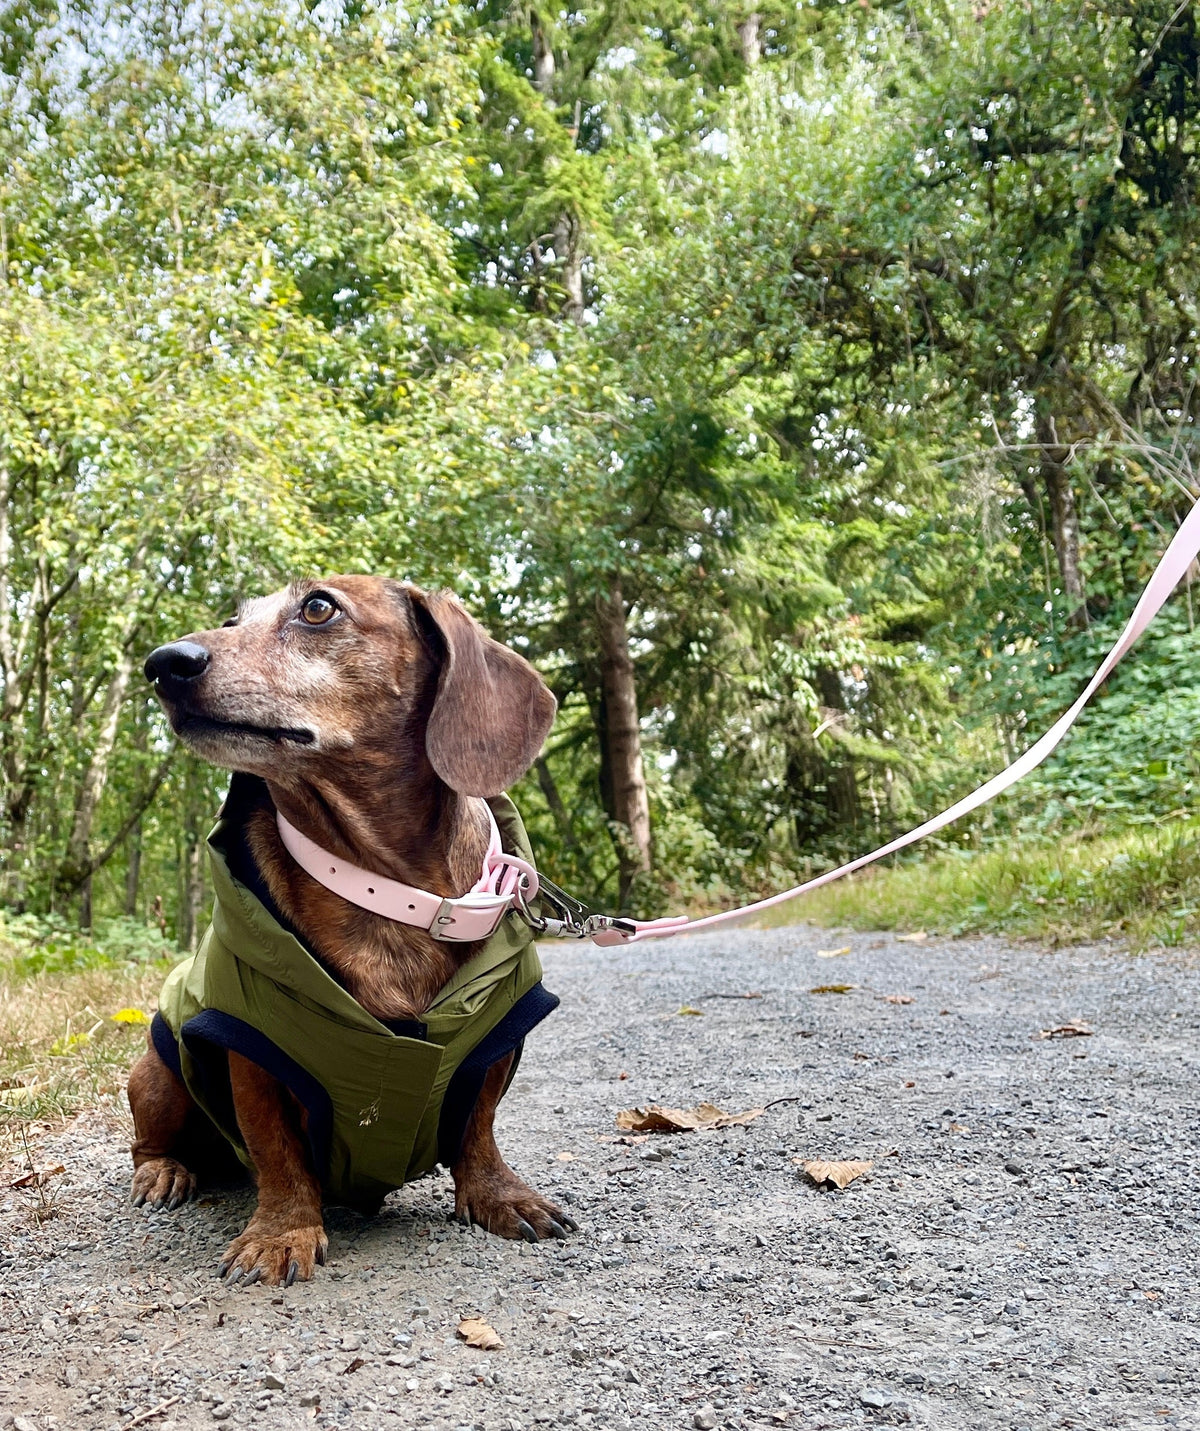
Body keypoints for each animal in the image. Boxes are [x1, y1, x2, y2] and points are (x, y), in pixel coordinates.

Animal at [131, 578, 577, 1287]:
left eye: (318, 607)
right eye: (232, 619)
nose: (163, 663)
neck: (388, 895)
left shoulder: (497, 1038)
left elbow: (479, 1125)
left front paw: (499, 1195)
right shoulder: (251, 1047)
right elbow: (278, 1151)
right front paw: (281, 1233)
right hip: (157, 1070)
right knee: (148, 1140)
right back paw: (163, 1172)